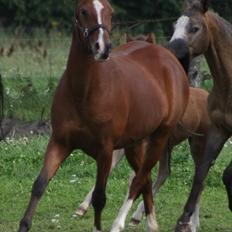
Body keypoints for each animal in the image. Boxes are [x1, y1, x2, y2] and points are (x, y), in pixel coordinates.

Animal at [17, 0, 188, 231]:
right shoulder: (60, 142)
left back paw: (122, 223)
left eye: (110, 12)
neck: (84, 92)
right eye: (83, 11)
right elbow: (39, 185)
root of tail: (170, 60)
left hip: (159, 137)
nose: (102, 48)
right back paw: (151, 224)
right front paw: (24, 224)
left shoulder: (105, 151)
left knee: (139, 179)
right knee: (145, 179)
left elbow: (99, 197)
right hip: (135, 144)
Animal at [169, 0, 232, 232]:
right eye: (174, 25)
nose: (171, 53)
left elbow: (227, 174)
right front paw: (184, 221)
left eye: (194, 28)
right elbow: (200, 175)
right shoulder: (218, 131)